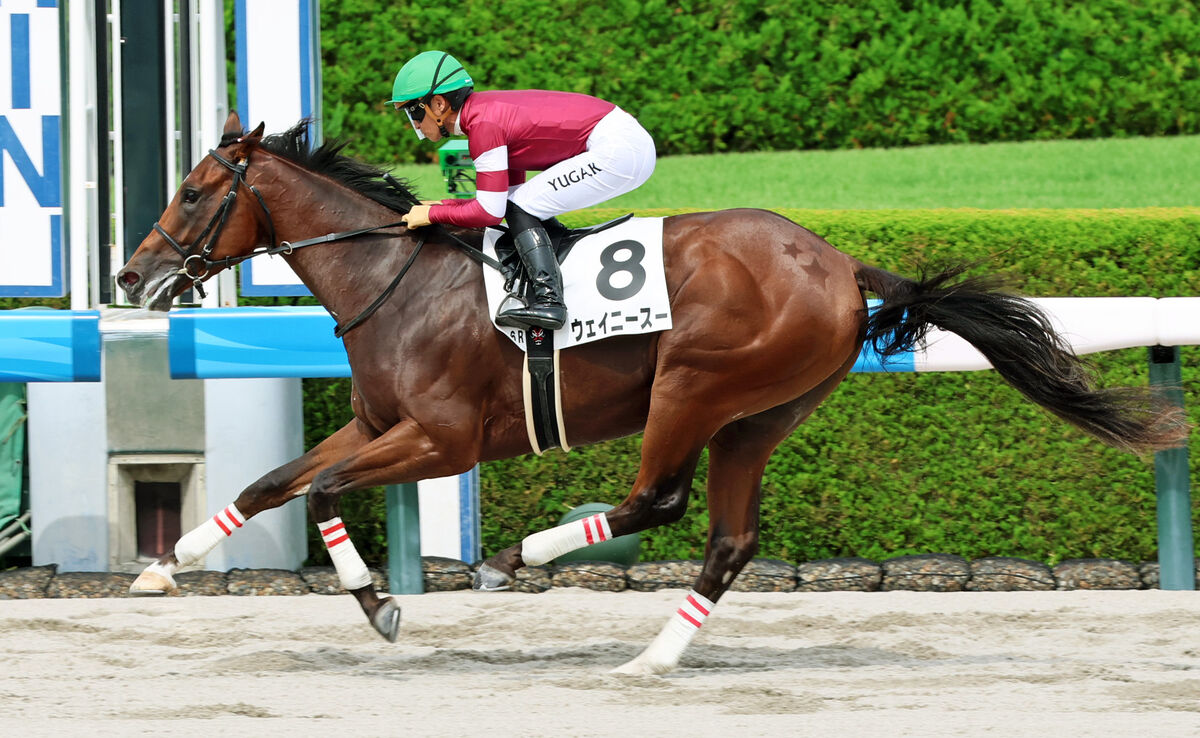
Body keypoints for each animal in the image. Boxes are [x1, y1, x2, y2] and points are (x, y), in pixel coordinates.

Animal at [116, 112, 1185, 675]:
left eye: (193, 191)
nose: (132, 277)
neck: (395, 276)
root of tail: (842, 265)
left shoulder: (444, 439)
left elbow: (325, 490)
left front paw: (378, 601)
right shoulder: (380, 423)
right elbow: (275, 483)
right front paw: (169, 566)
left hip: (697, 384)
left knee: (656, 498)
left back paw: (525, 555)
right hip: (761, 413)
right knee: (728, 537)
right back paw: (658, 655)